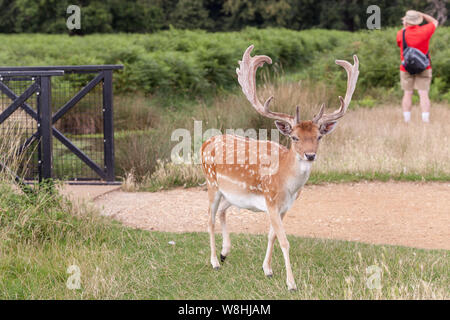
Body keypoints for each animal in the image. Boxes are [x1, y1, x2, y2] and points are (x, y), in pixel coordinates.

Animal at [200, 45, 358, 290]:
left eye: (319, 136)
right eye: (294, 137)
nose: (310, 155)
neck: (287, 184)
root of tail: (205, 143)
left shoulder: (285, 207)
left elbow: (272, 235)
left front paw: (267, 269)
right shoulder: (271, 200)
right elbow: (284, 241)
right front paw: (291, 283)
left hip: (232, 194)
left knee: (223, 211)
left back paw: (226, 253)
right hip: (211, 183)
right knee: (208, 218)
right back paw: (215, 261)